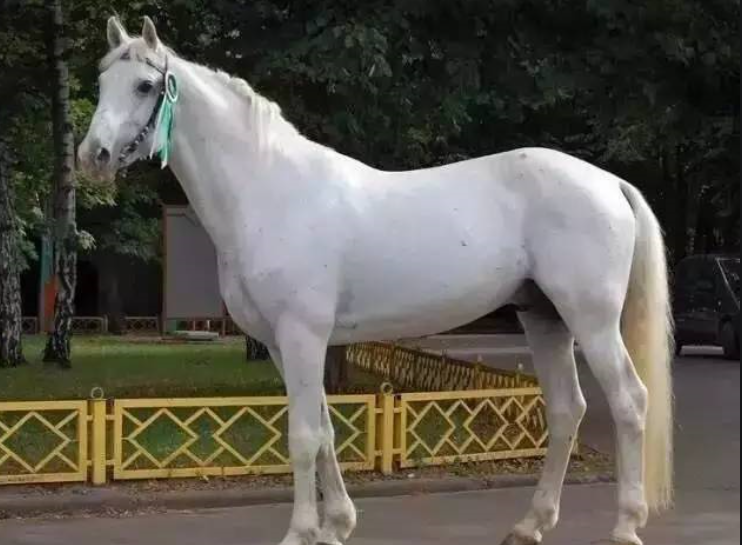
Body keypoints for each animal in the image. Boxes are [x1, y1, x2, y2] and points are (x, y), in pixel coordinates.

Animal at [78, 16, 674, 545]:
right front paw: (337, 525)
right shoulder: (282, 344)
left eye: (145, 85)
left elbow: (302, 436)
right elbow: (323, 430)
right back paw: (530, 525)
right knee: (567, 408)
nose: (93, 156)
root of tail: (608, 182)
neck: (269, 191)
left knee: (629, 400)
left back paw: (625, 525)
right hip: (544, 318)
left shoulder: (302, 336)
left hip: (592, 321)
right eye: (101, 81)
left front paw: (300, 532)